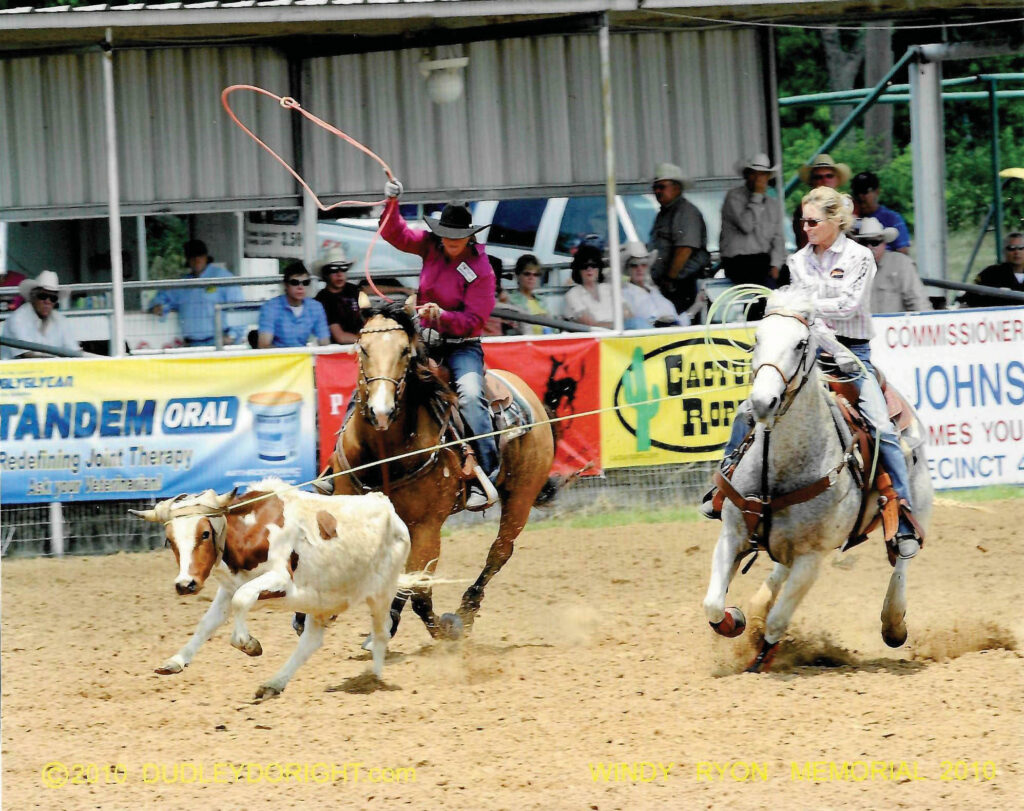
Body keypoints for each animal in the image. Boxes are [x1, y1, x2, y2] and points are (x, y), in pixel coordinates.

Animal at [319, 302, 555, 641]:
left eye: (405, 350)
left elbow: (419, 592)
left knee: (499, 551)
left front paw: (444, 628)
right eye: (362, 348)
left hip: (521, 497)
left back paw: (465, 610)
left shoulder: (427, 526)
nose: (381, 411)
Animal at [702, 288, 933, 672]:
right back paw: (758, 603)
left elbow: (778, 621)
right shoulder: (732, 534)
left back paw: (893, 623)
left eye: (800, 344)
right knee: (777, 572)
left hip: (919, 501)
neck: (778, 470)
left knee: (904, 555)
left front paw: (759, 660)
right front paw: (737, 620)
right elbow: (714, 606)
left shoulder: (812, 557)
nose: (762, 402)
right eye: (757, 338)